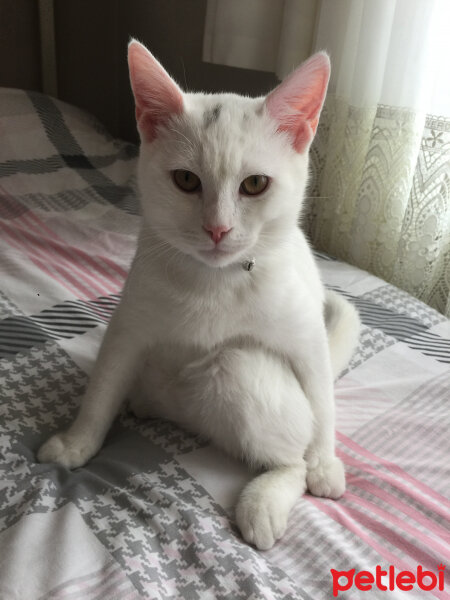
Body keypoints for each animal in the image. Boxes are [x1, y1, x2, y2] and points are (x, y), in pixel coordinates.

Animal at [39, 41, 362, 548]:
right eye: (187, 180)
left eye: (255, 184)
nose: (217, 229)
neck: (216, 279)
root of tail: (187, 416)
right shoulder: (128, 325)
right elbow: (102, 388)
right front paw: (77, 442)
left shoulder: (306, 337)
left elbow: (321, 396)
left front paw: (326, 462)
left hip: (241, 372)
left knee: (288, 449)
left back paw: (265, 500)